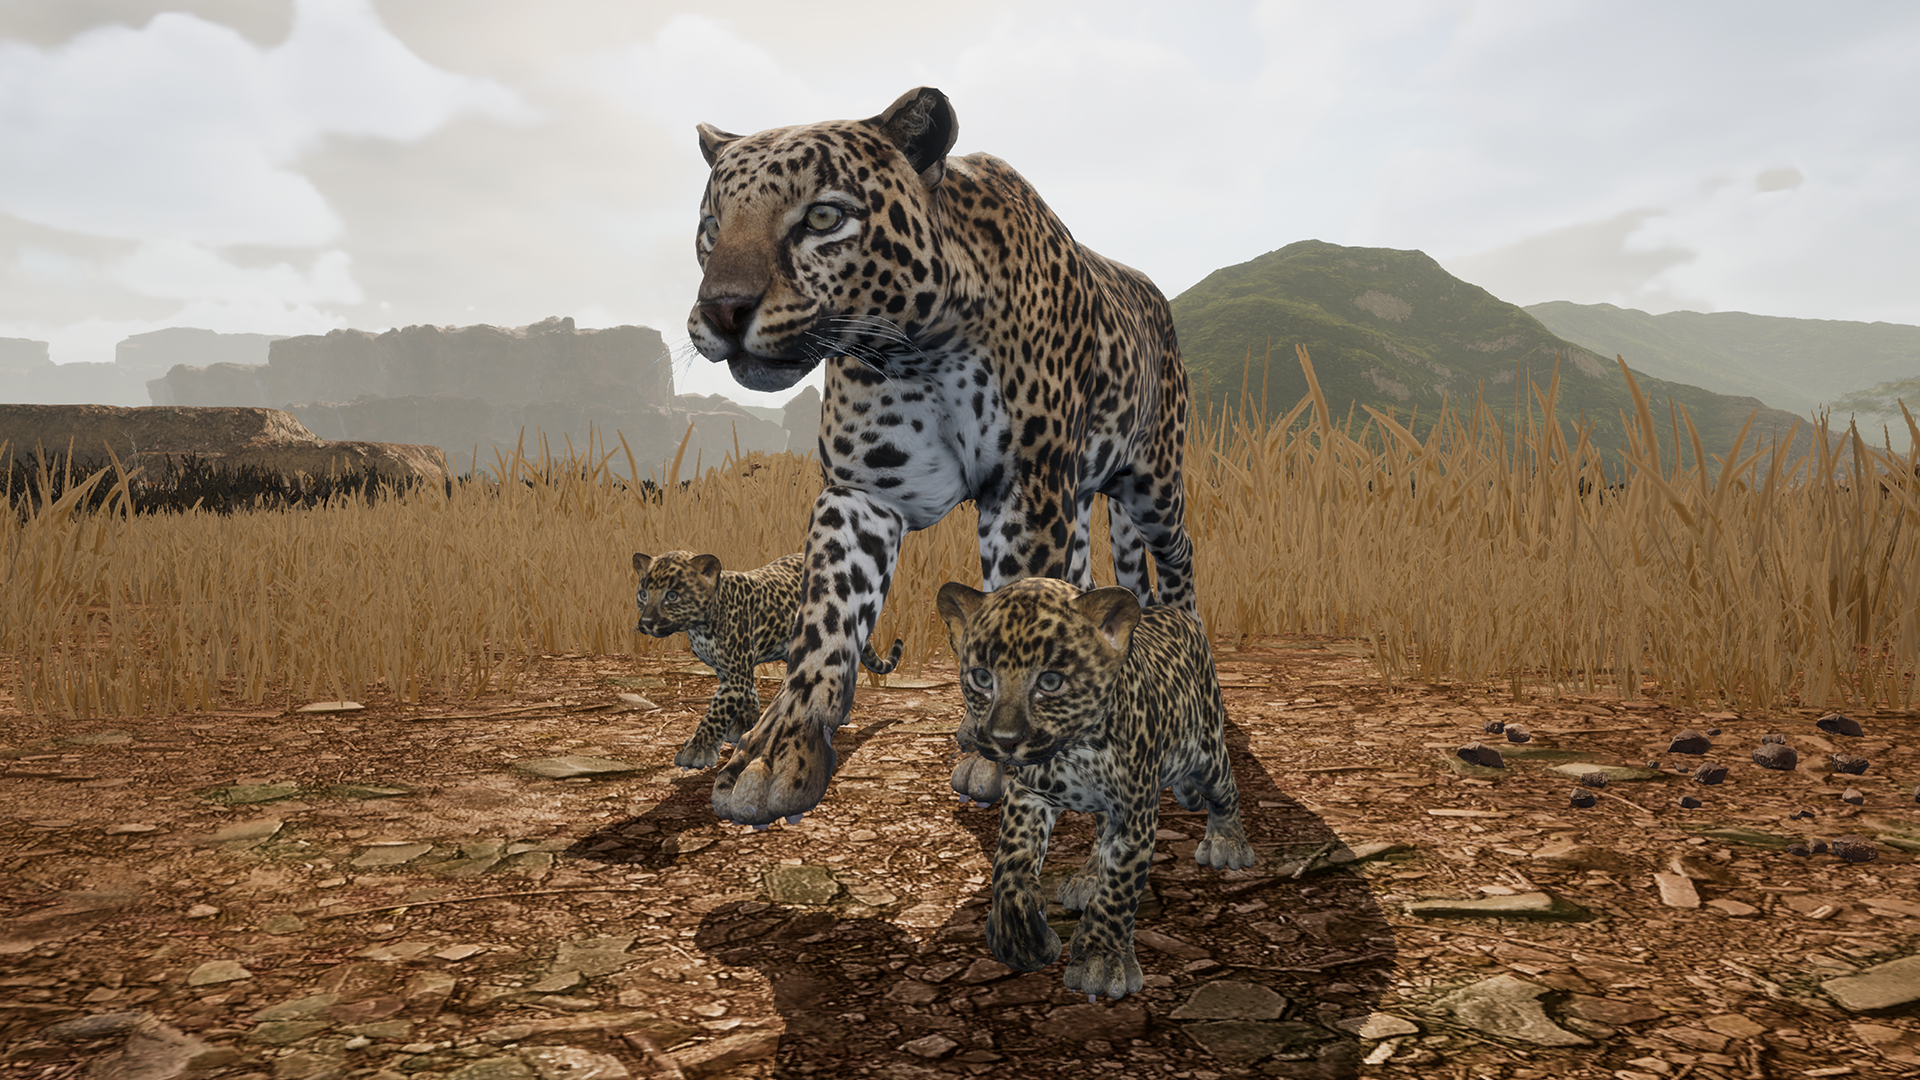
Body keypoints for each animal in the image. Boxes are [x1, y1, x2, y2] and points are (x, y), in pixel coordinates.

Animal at [633, 550, 902, 774]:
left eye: (672, 596)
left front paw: (697, 750)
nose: (646, 622)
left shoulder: (736, 673)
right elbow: (748, 694)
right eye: (643, 594)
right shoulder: (731, 670)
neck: (701, 626)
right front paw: (744, 725)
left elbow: (717, 710)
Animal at [688, 85, 1197, 826]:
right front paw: (775, 754)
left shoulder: (1026, 485)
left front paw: (1006, 760)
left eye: (822, 217)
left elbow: (1022, 598)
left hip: (1152, 485)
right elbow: (826, 618)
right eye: (711, 226)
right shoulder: (863, 490)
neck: (913, 347)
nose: (724, 310)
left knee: (1179, 556)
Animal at [935, 576, 1256, 1001]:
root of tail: (1176, 612)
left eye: (1050, 681)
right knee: (1101, 833)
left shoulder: (1135, 815)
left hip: (1207, 751)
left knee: (1225, 791)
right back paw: (1087, 878)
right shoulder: (1028, 794)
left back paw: (1227, 843)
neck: (1077, 750)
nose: (1005, 739)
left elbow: (1119, 888)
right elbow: (1010, 864)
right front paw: (1021, 936)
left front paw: (1102, 960)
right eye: (982, 677)